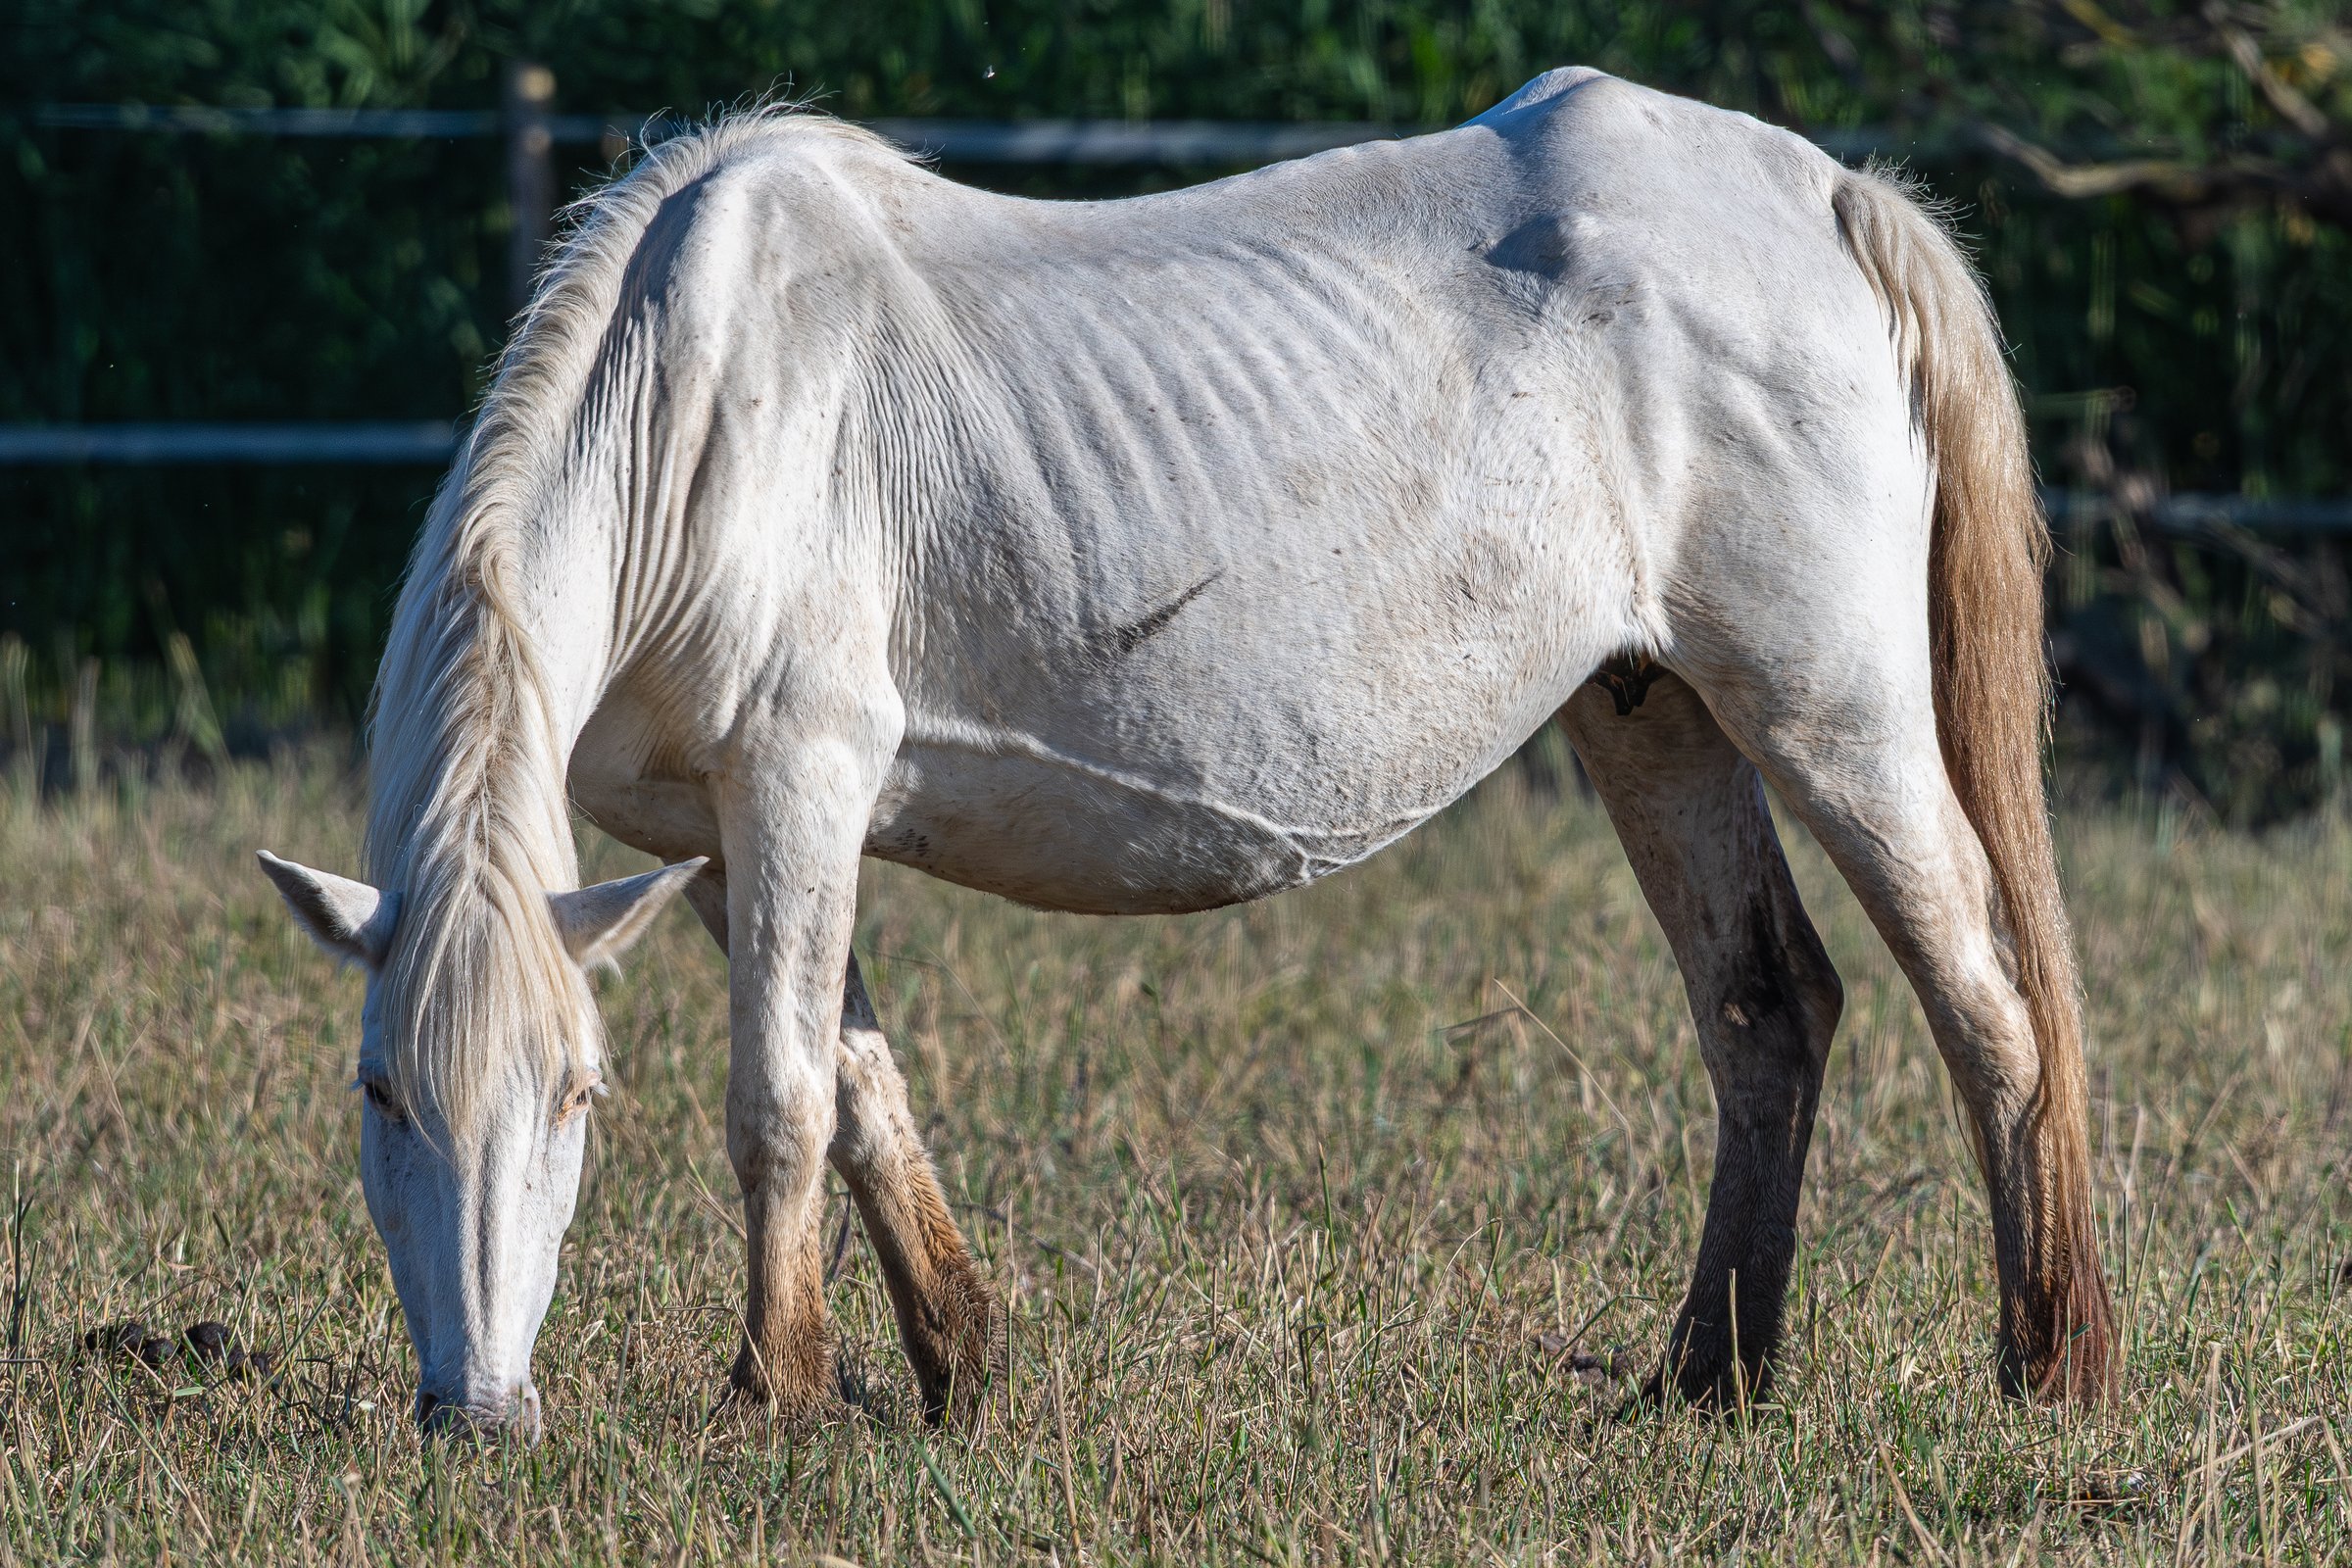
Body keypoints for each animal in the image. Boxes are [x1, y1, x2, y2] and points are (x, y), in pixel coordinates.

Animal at [259, 66, 2113, 1440]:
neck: (703, 409)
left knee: (1990, 1004)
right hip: (1653, 711)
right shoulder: (719, 835)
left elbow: (775, 1100)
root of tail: (1823, 194)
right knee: (1768, 1013)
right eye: (377, 1093)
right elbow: (859, 1089)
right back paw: (1705, 1384)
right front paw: (957, 1374)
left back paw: (2050, 1368)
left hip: (1828, 706)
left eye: (577, 1096)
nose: (479, 1416)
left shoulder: (800, 786)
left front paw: (770, 1399)